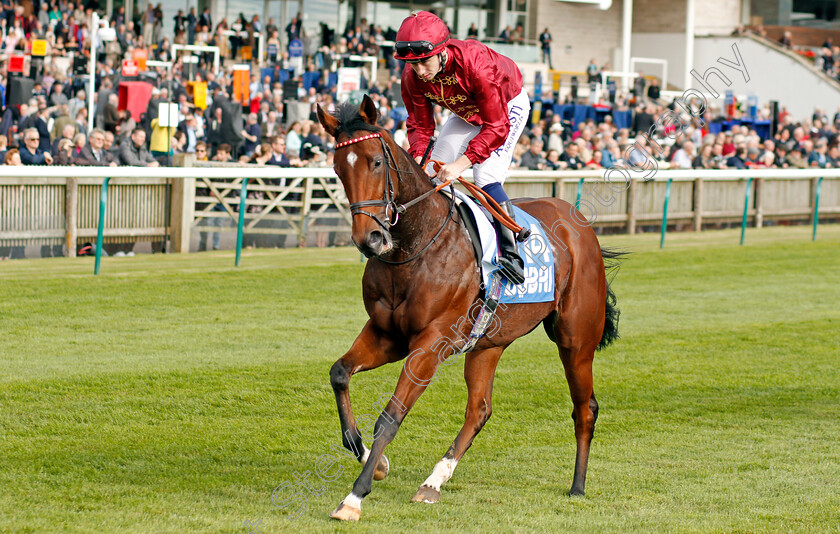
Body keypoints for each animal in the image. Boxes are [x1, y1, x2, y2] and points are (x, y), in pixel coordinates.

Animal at [318, 96, 620, 524]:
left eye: (376, 161)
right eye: (338, 168)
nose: (370, 239)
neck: (416, 245)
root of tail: (581, 224)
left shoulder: (431, 343)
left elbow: (390, 416)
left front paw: (354, 496)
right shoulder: (387, 334)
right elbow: (340, 373)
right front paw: (372, 461)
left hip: (576, 340)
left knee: (585, 408)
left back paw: (577, 485)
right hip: (488, 342)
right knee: (479, 409)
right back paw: (433, 482)